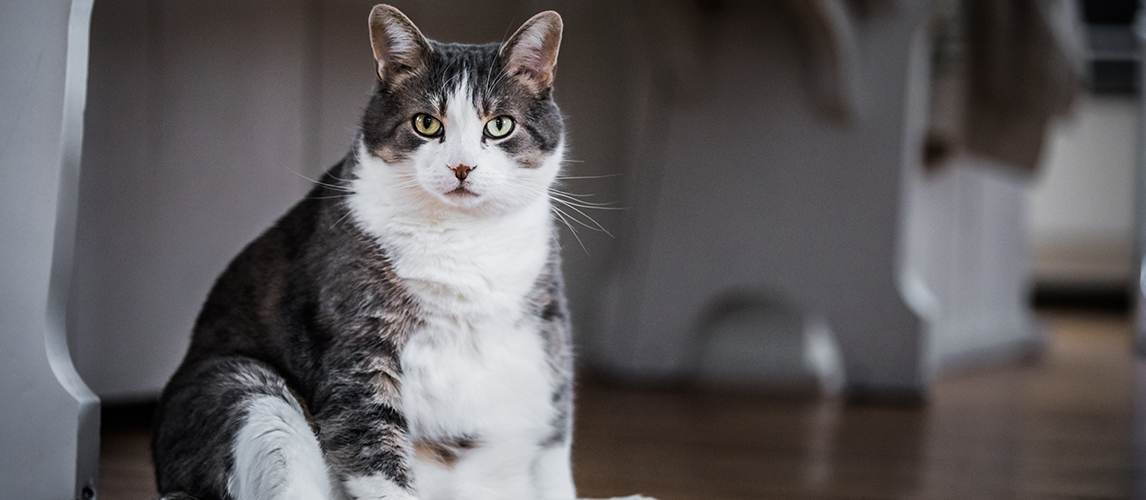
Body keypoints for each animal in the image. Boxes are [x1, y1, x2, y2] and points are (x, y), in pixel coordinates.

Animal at [150, 6, 637, 499]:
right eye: (426, 123)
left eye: (500, 125)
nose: (462, 167)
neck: (464, 238)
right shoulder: (358, 340)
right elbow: (375, 450)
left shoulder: (547, 325)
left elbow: (554, 440)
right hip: (245, 390)